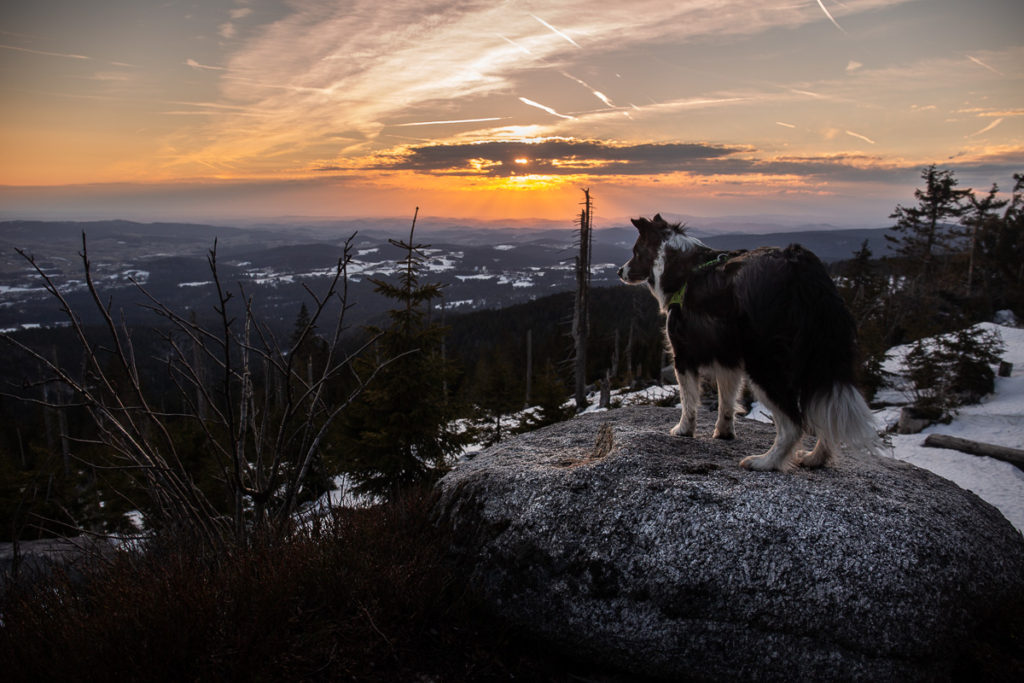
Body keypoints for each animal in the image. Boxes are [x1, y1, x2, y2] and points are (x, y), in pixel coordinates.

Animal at [614, 214, 880, 471]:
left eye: (636, 252)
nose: (619, 271)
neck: (682, 268)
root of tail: (800, 268)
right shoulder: (727, 358)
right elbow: (726, 401)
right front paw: (724, 432)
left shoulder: (684, 354)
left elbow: (688, 400)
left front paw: (683, 430)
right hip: (817, 359)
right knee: (825, 414)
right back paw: (816, 458)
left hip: (764, 362)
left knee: (794, 424)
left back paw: (766, 462)